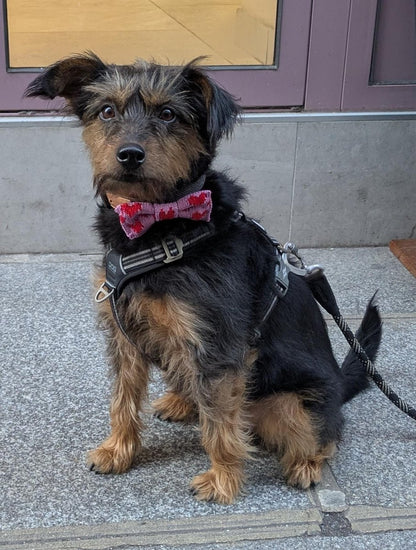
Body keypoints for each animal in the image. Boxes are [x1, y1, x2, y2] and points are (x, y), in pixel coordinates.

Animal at [26, 54, 382, 506]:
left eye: (168, 113)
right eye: (107, 111)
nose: (129, 155)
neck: (158, 226)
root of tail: (339, 379)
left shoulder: (217, 347)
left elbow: (221, 425)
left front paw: (223, 479)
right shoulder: (124, 336)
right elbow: (122, 400)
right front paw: (117, 450)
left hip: (291, 403)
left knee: (325, 433)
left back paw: (307, 464)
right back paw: (182, 402)